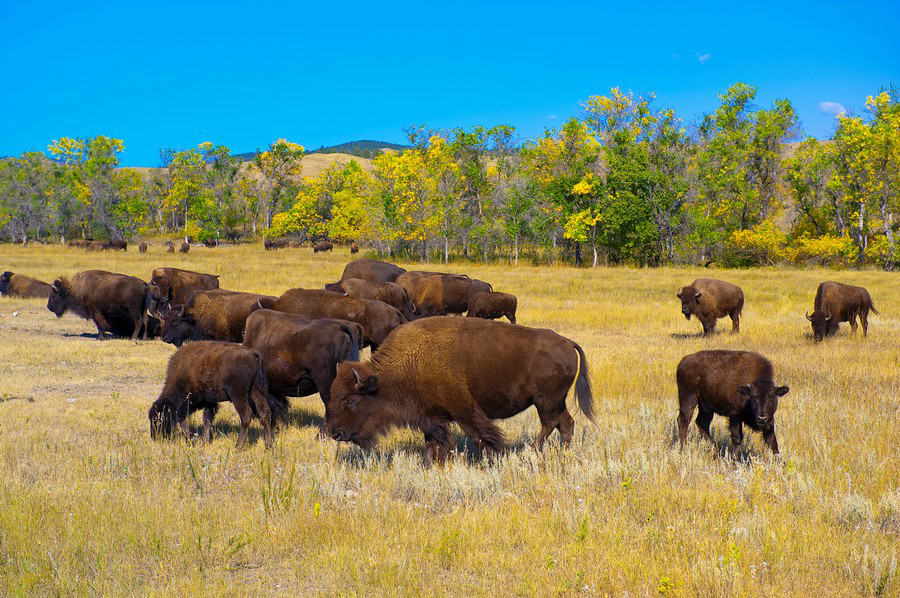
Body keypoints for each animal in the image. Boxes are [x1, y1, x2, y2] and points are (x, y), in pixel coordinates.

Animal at [326, 318, 596, 464]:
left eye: (351, 400)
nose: (336, 434)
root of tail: (567, 343)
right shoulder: (431, 416)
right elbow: (434, 442)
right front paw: (430, 463)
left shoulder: (464, 409)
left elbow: (482, 435)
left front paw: (493, 458)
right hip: (555, 402)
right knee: (565, 423)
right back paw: (561, 454)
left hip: (545, 401)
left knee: (550, 424)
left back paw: (533, 451)